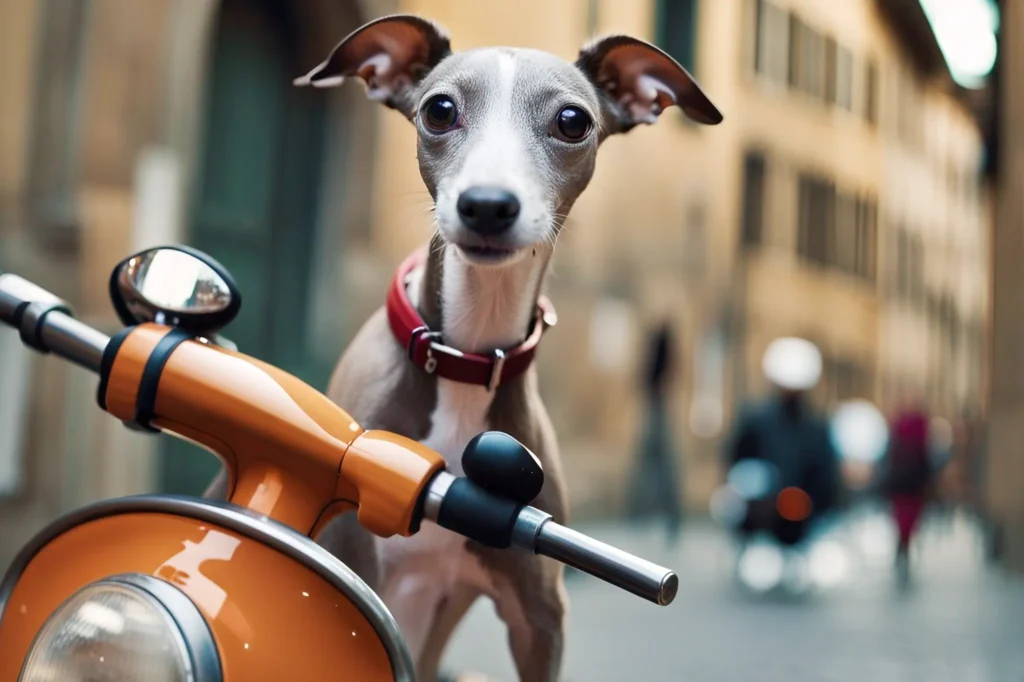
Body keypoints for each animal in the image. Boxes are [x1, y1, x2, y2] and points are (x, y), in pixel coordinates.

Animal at [208, 14, 720, 679]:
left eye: (573, 121)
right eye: (440, 109)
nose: (487, 206)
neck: (466, 358)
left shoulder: (539, 615)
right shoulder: (345, 576)